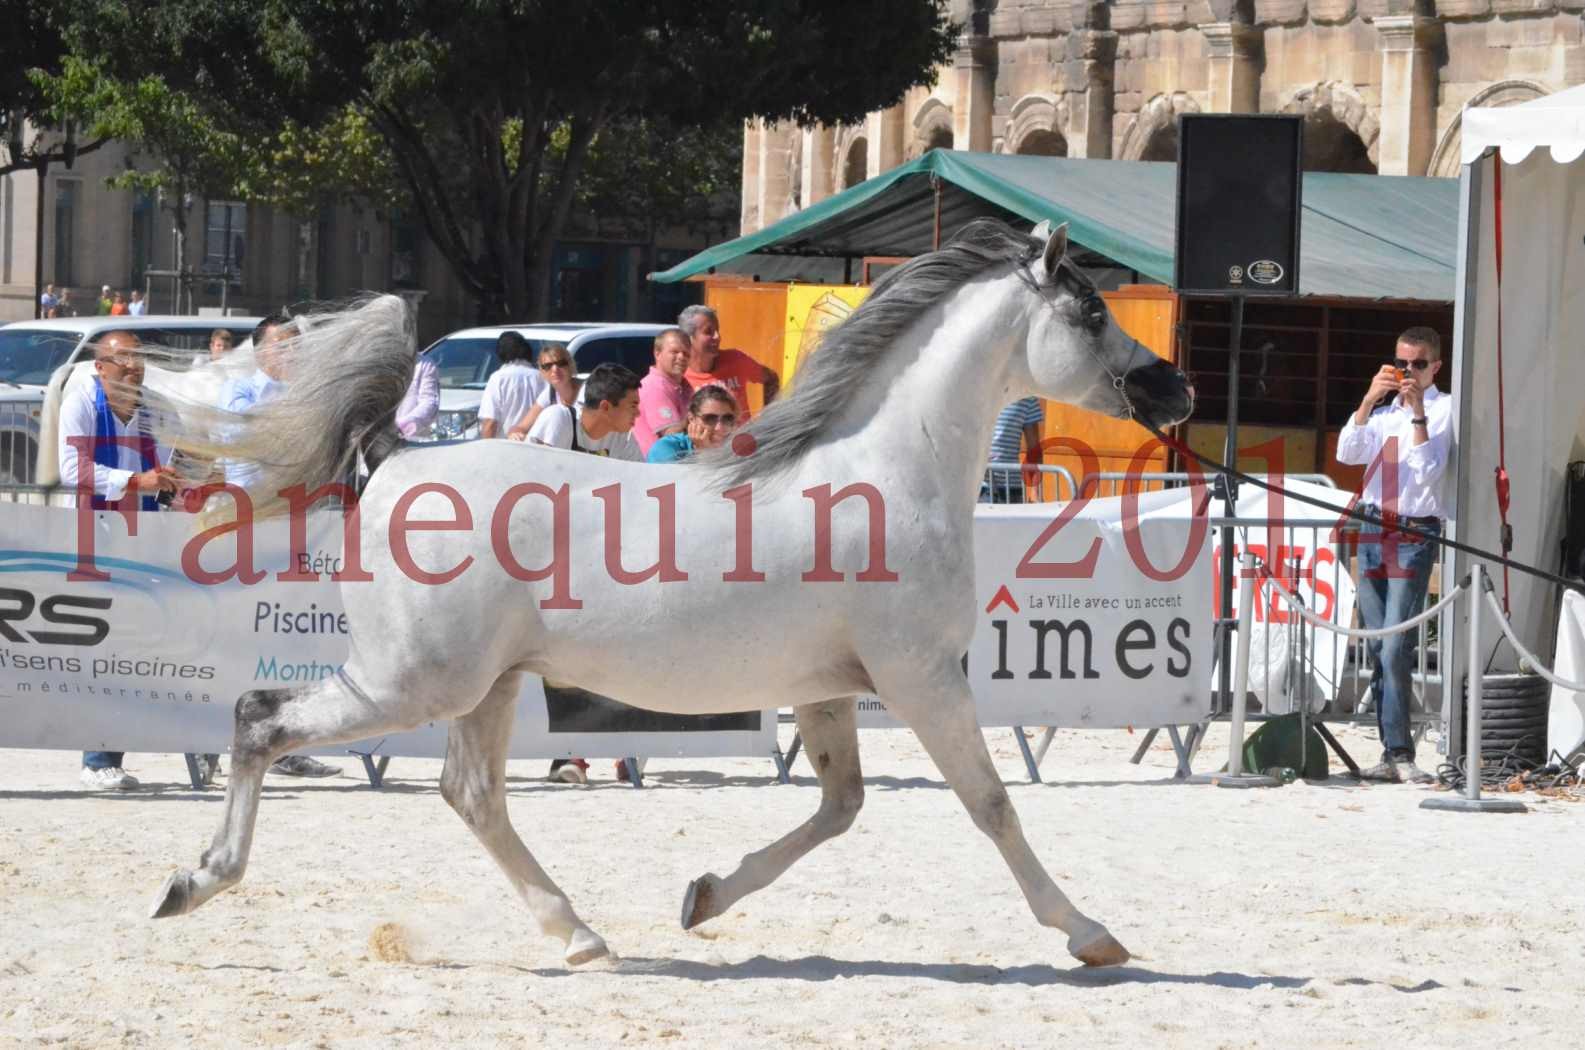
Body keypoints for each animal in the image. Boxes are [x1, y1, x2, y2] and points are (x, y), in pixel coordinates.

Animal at [151, 220, 1191, 970]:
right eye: (1088, 311)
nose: (1174, 391)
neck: (890, 473)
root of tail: (397, 455)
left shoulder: (828, 690)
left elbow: (840, 808)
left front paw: (703, 897)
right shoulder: (922, 678)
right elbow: (990, 803)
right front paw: (1089, 934)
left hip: (482, 686)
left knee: (471, 795)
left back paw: (581, 937)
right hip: (413, 682)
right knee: (259, 718)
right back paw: (194, 883)